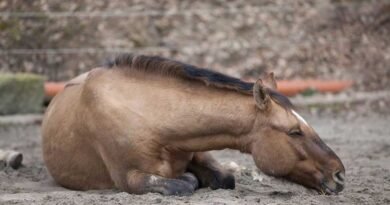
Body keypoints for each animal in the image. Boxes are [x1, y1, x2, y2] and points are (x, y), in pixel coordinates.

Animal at [41, 54, 346, 195]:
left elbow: (224, 178)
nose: (340, 174)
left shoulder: (199, 150)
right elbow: (184, 182)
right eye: (294, 132)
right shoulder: (130, 178)